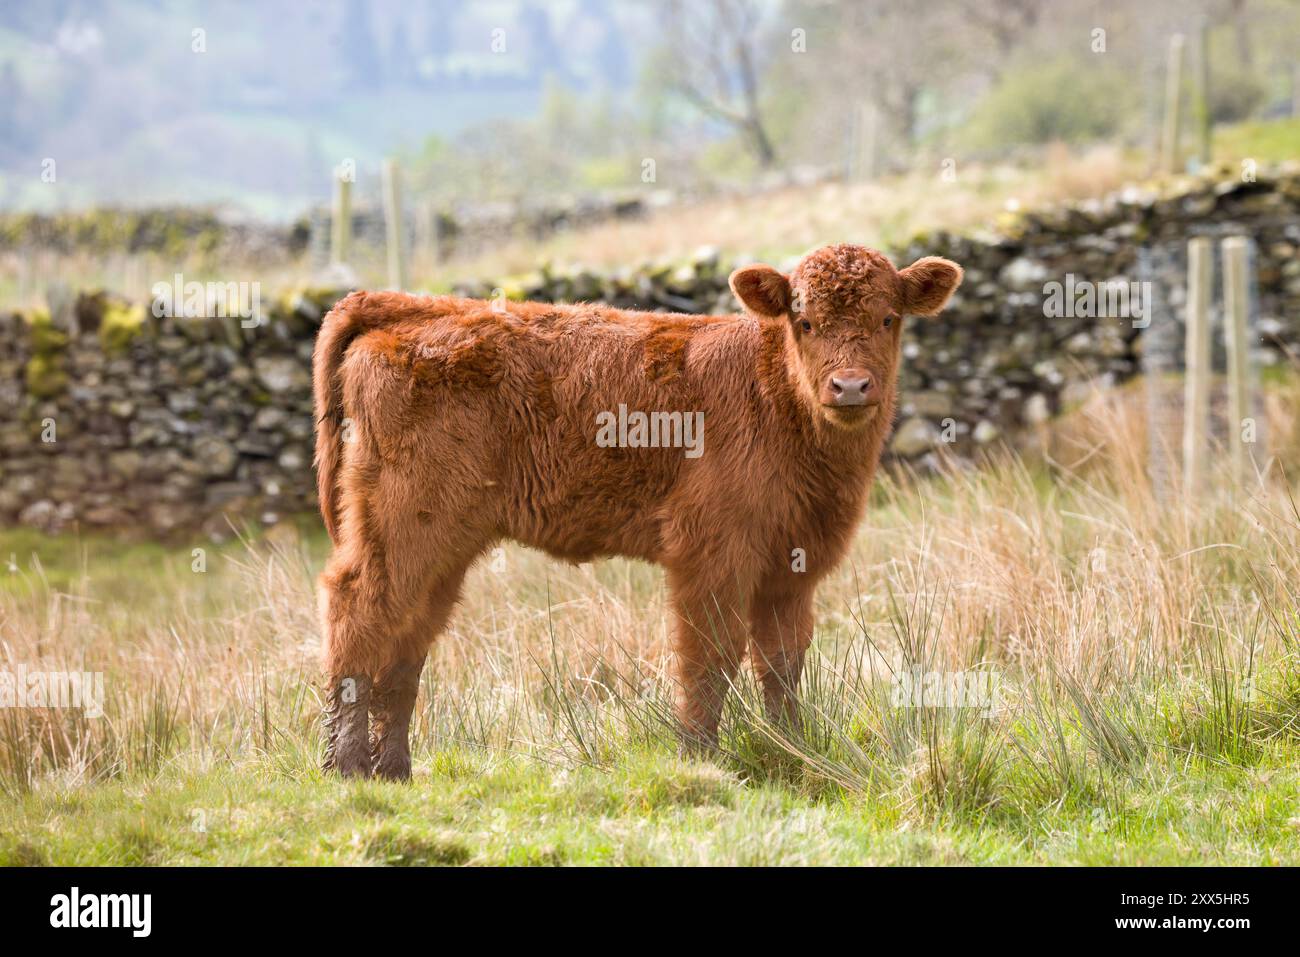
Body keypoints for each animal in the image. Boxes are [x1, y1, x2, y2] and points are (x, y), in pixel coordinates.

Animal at [309, 244, 961, 780]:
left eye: (888, 318)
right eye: (805, 322)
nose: (850, 386)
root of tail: (414, 307)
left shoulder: (793, 565)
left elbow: (781, 661)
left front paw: (791, 751)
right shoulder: (711, 554)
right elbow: (709, 655)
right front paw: (700, 758)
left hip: (441, 544)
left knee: (407, 640)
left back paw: (394, 769)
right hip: (404, 525)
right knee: (358, 612)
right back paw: (348, 768)